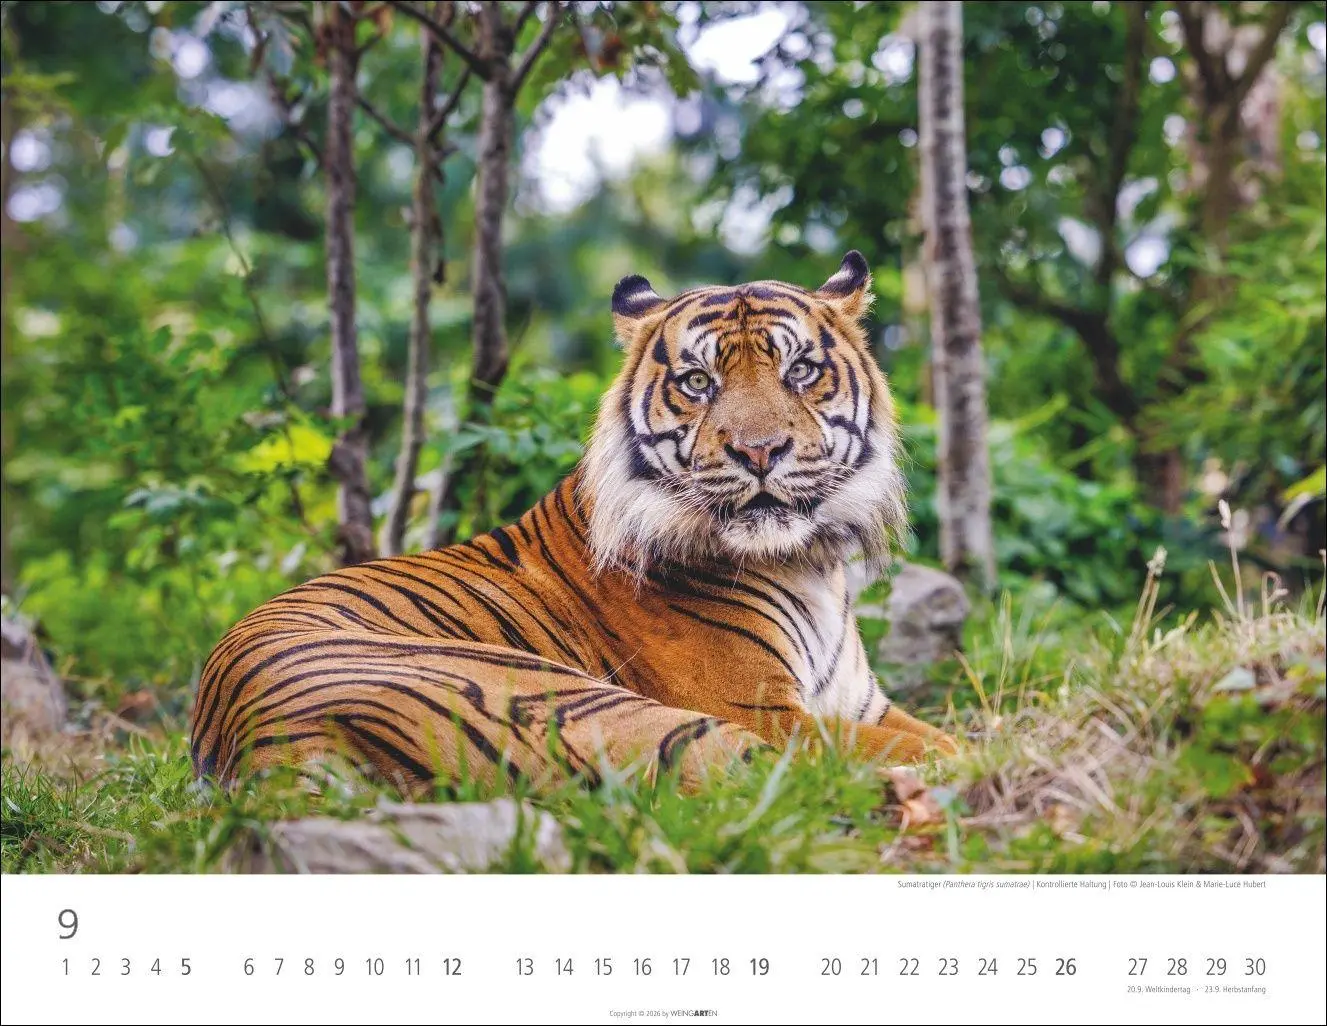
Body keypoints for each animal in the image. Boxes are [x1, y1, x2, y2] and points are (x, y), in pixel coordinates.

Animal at [190, 252, 959, 794]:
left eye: (800, 371)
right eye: (698, 382)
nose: (759, 450)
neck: (808, 563)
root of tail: (260, 745)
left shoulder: (863, 704)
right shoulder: (764, 709)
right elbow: (941, 741)